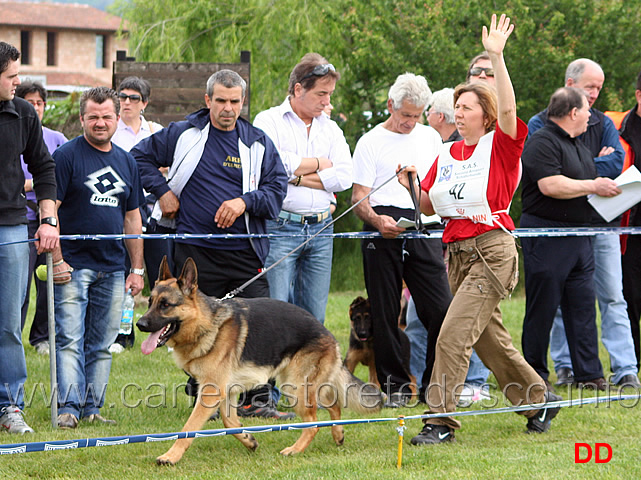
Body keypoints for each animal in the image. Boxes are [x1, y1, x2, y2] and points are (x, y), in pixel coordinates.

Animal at [136, 258, 380, 464]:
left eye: (166, 305)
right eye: (150, 302)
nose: (140, 324)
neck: (206, 324)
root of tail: (328, 334)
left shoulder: (211, 392)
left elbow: (189, 428)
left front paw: (171, 456)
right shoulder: (225, 391)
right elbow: (229, 422)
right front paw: (249, 440)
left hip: (296, 387)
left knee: (313, 423)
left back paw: (294, 449)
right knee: (334, 404)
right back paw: (338, 435)